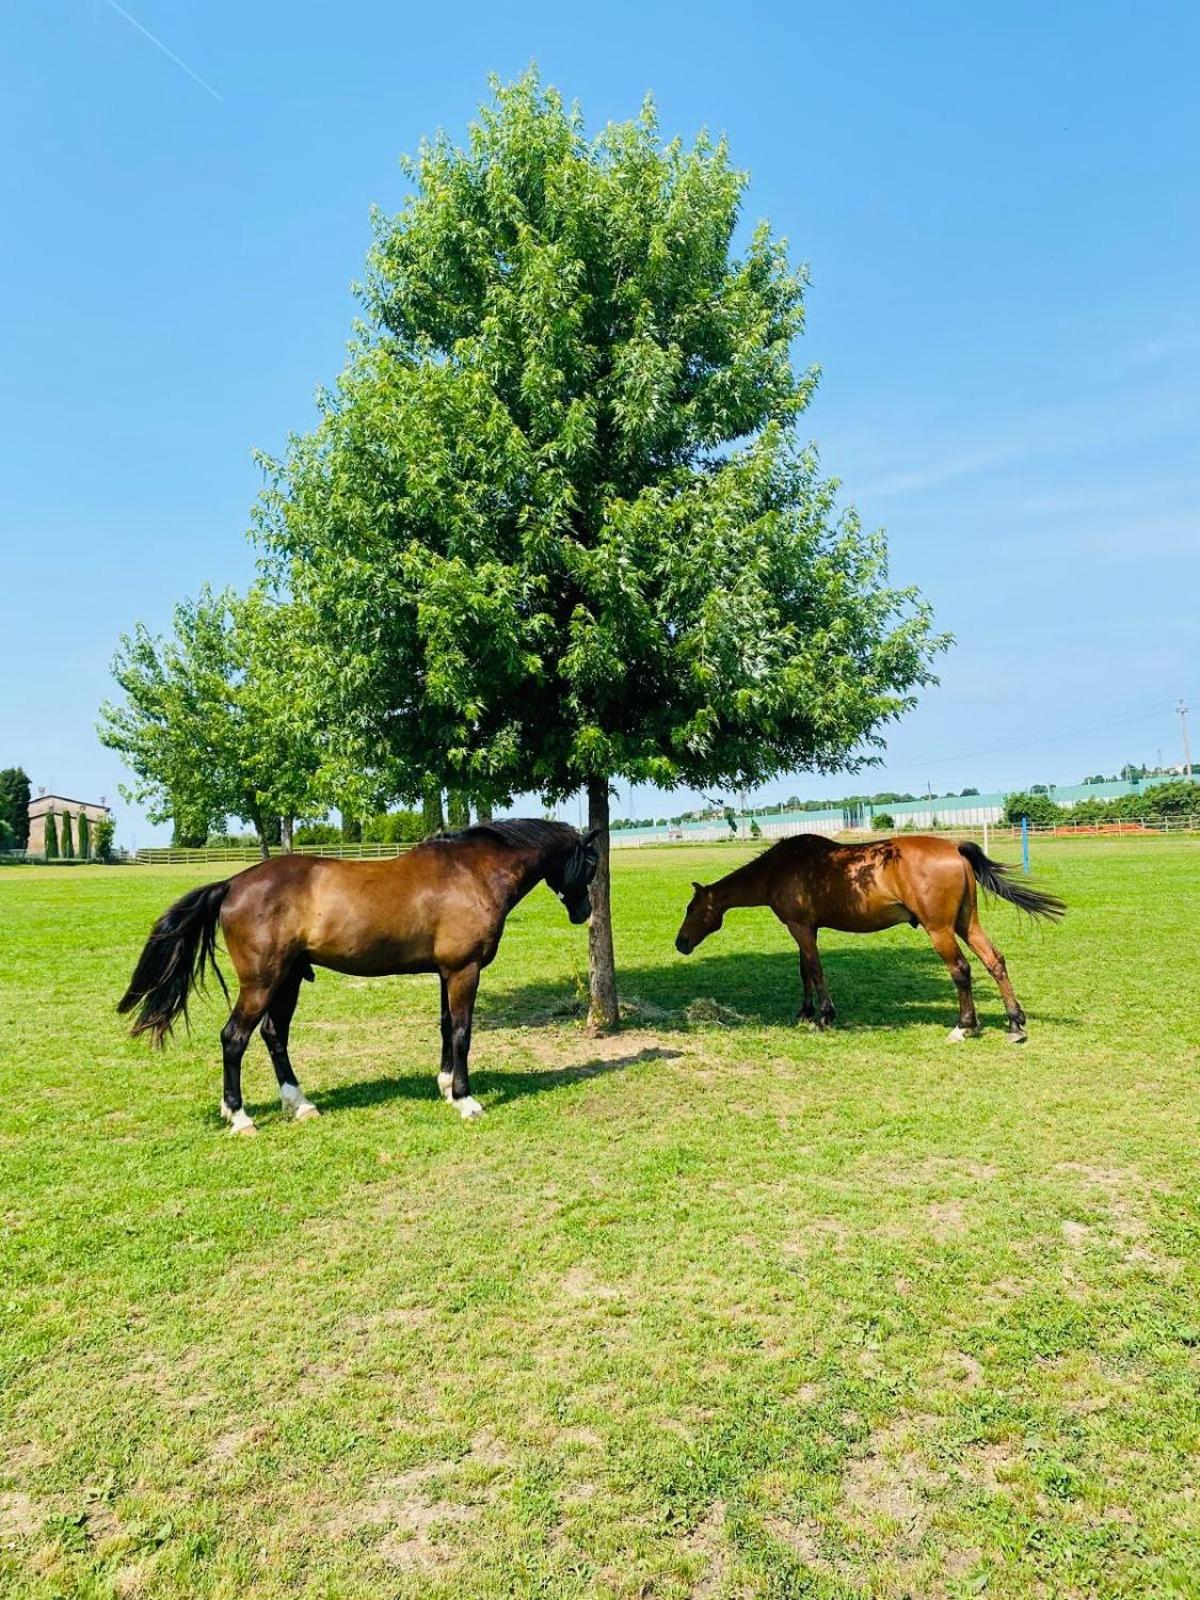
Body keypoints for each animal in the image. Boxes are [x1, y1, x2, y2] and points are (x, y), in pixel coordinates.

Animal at [119, 820, 599, 1134]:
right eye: (590, 864)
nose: (584, 913)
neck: (470, 872)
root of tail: (233, 883)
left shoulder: (447, 972)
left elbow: (446, 1028)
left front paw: (445, 1087)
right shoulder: (464, 971)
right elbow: (463, 1032)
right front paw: (465, 1100)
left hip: (288, 979)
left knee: (274, 1035)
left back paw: (300, 1104)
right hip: (262, 982)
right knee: (234, 1038)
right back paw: (239, 1116)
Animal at [674, 833, 1064, 1041]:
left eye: (691, 909)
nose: (681, 943)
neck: (779, 869)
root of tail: (954, 847)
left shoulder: (800, 927)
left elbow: (814, 969)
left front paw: (824, 1015)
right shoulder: (806, 928)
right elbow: (804, 970)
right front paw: (804, 1011)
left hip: (939, 929)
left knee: (961, 970)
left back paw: (964, 1026)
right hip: (966, 923)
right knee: (994, 960)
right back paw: (1014, 1023)